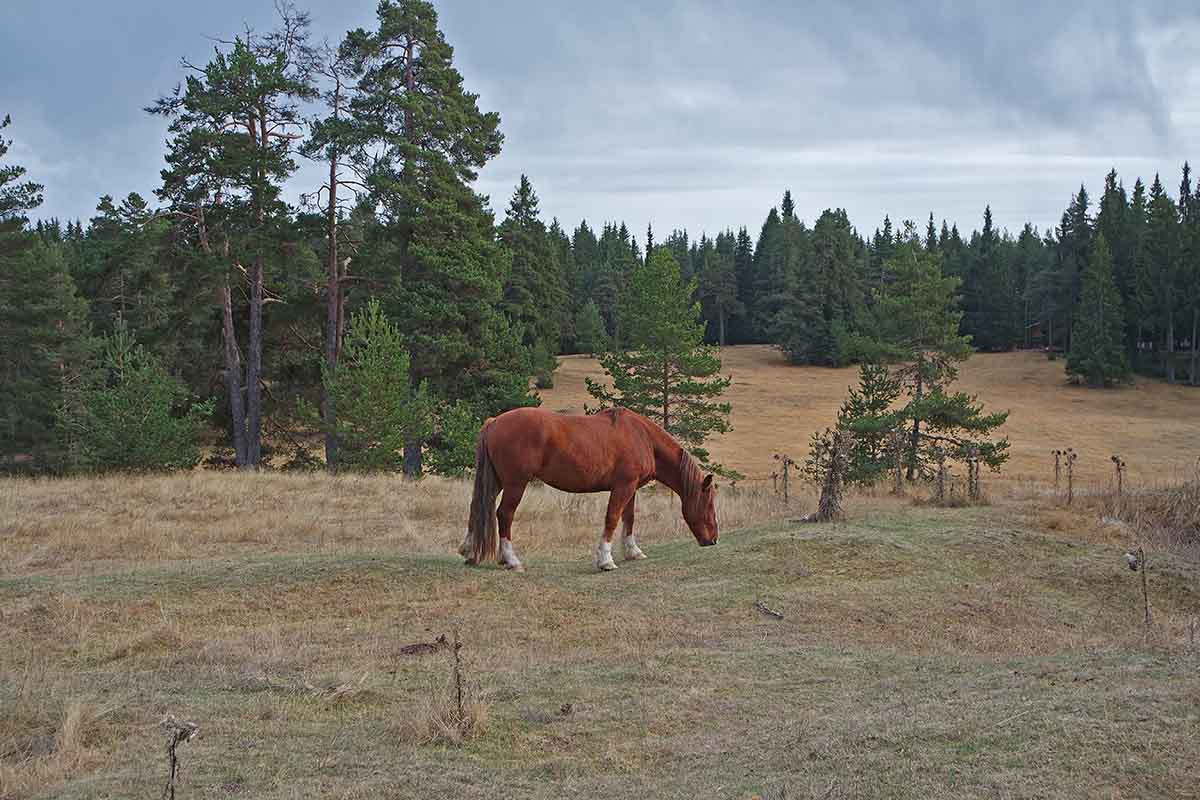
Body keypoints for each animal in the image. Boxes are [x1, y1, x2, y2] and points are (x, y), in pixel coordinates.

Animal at [458, 410, 715, 573]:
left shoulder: (631, 489)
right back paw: (511, 560)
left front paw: (633, 551)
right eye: (709, 504)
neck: (643, 437)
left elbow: (629, 518)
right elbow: (612, 518)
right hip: (515, 484)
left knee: (477, 509)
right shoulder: (623, 487)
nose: (713, 540)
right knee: (504, 515)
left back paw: (470, 552)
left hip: (497, 482)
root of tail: (494, 422)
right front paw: (605, 560)